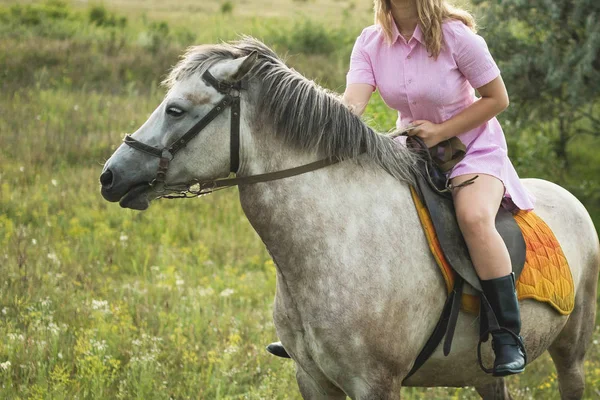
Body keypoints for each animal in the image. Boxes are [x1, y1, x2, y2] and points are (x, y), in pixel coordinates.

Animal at [101, 38, 596, 400]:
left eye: (176, 109)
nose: (110, 176)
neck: (336, 244)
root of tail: (570, 200)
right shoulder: (313, 380)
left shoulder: (376, 384)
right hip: (484, 374)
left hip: (570, 355)